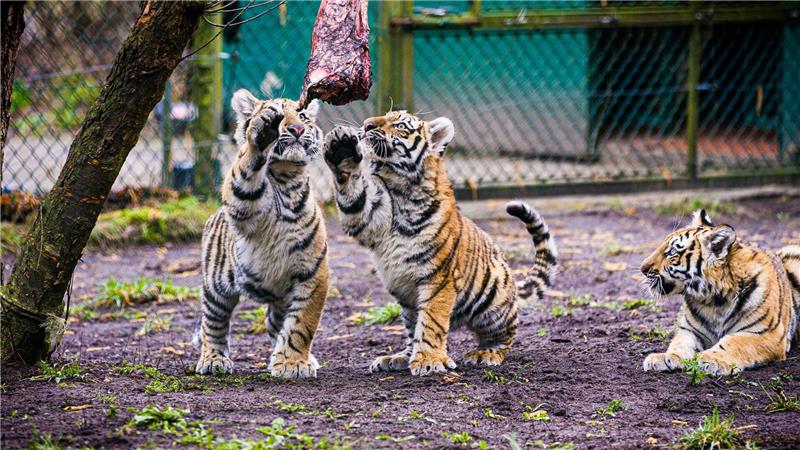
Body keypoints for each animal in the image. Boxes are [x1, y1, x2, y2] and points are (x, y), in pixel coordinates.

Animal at [193, 89, 329, 379]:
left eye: (302, 116)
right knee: (213, 323)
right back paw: (213, 360)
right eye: (279, 114)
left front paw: (292, 363)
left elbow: (302, 324)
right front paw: (262, 133)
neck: (288, 178)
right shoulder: (243, 205)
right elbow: (246, 166)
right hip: (216, 286)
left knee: (275, 322)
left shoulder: (313, 273)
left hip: (282, 294)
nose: (297, 129)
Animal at [322, 111, 558, 376]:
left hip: (493, 303)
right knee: (411, 331)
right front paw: (341, 150)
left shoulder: (439, 277)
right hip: (407, 303)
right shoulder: (366, 217)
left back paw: (485, 353)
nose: (367, 124)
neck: (397, 186)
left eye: (400, 124)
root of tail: (515, 290)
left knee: (505, 335)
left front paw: (429, 360)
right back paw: (399, 358)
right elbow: (353, 194)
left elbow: (432, 321)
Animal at [641, 209, 800, 375]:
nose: (642, 268)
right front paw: (665, 357)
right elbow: (679, 343)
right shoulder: (690, 330)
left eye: (671, 252)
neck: (713, 300)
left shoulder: (767, 334)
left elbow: (734, 342)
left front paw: (710, 359)